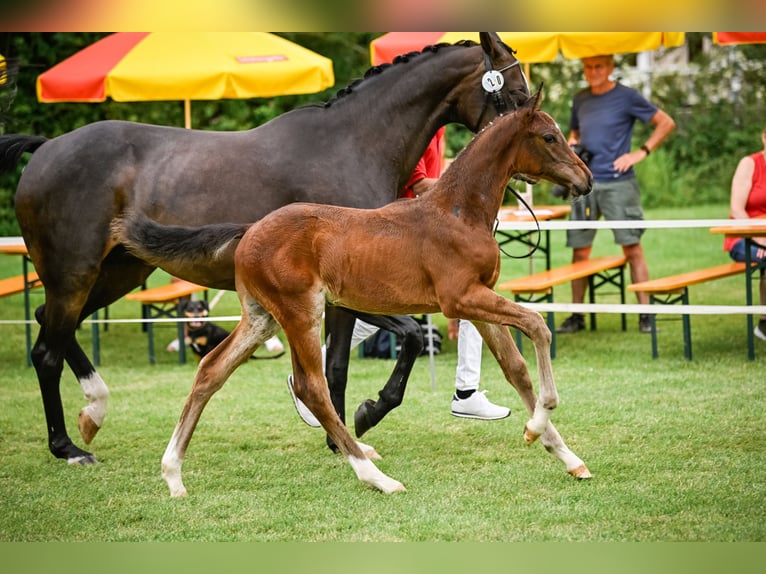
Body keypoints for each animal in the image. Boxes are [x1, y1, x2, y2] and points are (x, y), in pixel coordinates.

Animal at [0, 32, 532, 468]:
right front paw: (358, 424)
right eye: (518, 94)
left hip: (116, 273)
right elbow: (378, 350)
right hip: (75, 274)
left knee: (51, 328)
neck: (353, 145)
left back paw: (92, 413)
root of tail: (45, 149)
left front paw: (340, 433)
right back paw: (68, 447)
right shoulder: (346, 293)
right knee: (47, 349)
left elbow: (354, 359)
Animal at [115, 88, 592, 498]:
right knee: (312, 386)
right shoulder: (460, 298)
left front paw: (567, 456)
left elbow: (516, 370)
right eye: (549, 136)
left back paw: (173, 474)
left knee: (211, 370)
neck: (457, 212)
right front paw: (538, 425)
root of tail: (249, 230)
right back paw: (375, 475)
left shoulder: (478, 300)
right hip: (301, 312)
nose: (585, 179)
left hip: (260, 318)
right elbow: (537, 326)